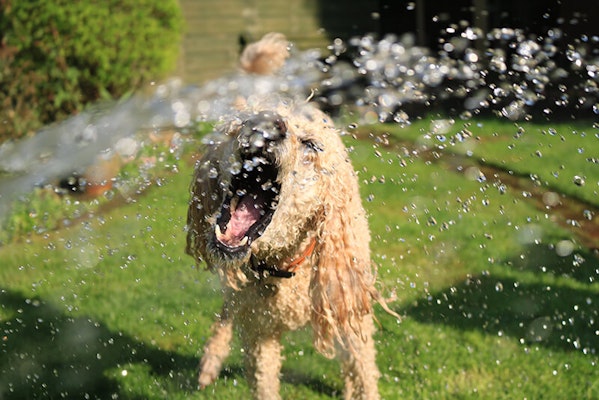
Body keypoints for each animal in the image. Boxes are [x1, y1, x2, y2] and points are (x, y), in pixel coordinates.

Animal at [185, 32, 386, 398]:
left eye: (311, 145)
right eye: (239, 125)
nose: (265, 124)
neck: (285, 265)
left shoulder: (351, 316)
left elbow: (363, 375)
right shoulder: (258, 334)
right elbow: (263, 381)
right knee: (226, 312)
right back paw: (210, 362)